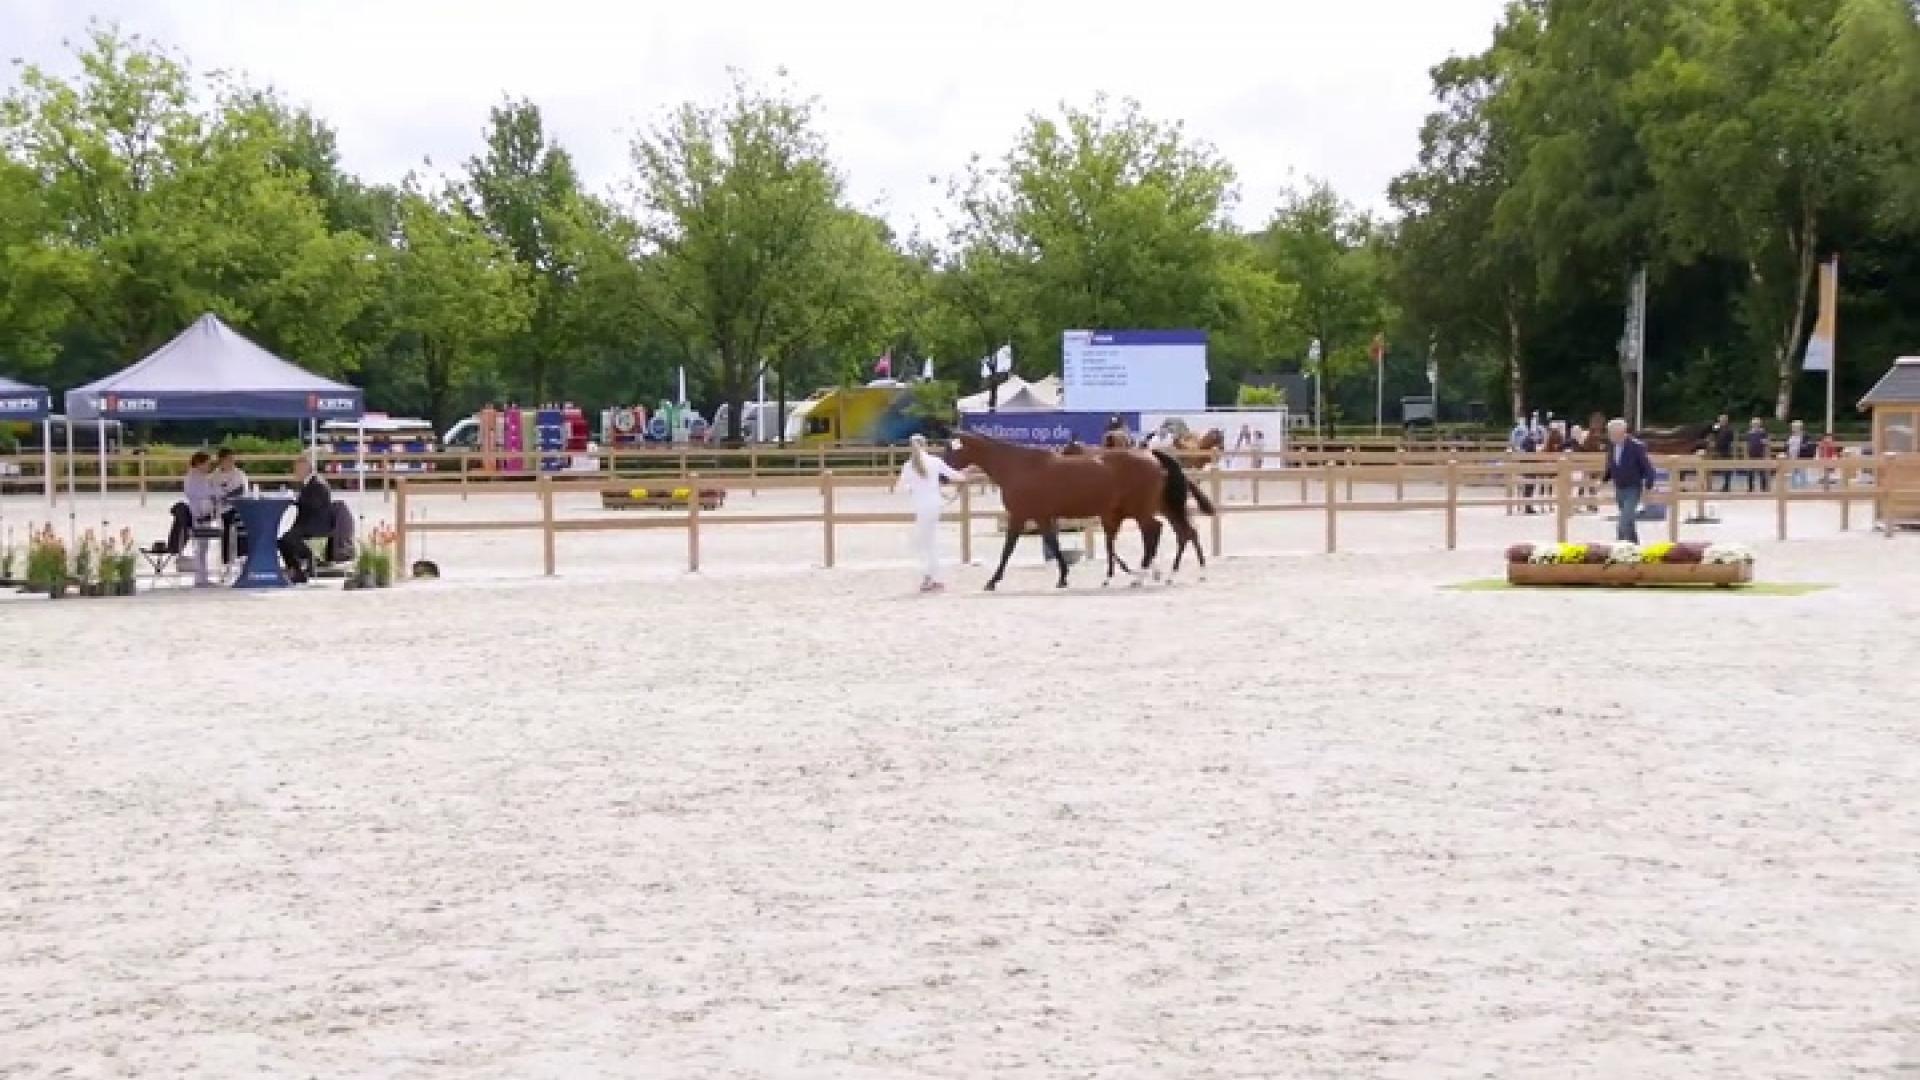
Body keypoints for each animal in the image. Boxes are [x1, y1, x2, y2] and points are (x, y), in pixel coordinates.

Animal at [945, 432, 1171, 590]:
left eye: (951, 450)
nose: (942, 477)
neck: (1017, 466)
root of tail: (1153, 459)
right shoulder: (1041, 517)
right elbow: (1053, 544)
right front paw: (1063, 577)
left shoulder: (1019, 516)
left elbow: (1008, 549)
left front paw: (992, 581)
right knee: (1153, 532)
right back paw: (1150, 573)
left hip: (1139, 511)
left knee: (1153, 531)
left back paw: (1143, 576)